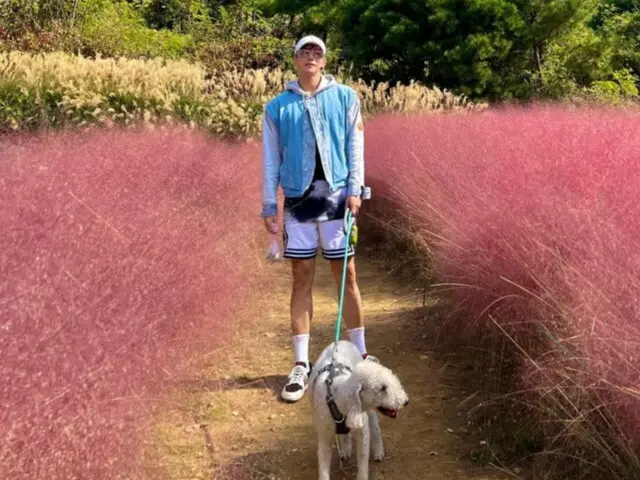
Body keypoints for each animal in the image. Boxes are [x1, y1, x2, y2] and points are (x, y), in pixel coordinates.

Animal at [308, 340, 410, 478]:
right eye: (383, 388)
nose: (405, 402)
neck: (338, 397)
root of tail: (342, 341)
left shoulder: (363, 431)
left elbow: (362, 458)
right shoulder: (325, 433)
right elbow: (323, 462)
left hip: (370, 412)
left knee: (375, 428)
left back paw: (378, 451)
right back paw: (345, 449)